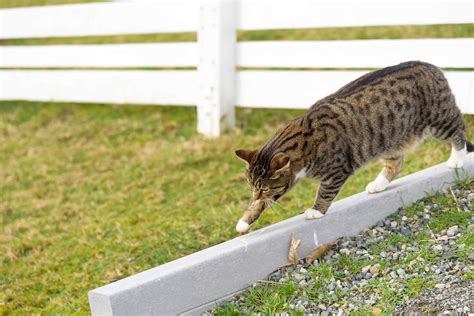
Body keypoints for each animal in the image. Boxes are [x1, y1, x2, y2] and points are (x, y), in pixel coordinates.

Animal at [235, 61, 472, 232]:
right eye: (251, 186)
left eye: (264, 187)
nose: (255, 193)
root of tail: (431, 66)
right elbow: (260, 205)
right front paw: (245, 220)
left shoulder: (336, 170)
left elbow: (325, 192)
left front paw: (315, 211)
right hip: (390, 141)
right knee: (395, 164)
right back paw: (378, 185)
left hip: (439, 118)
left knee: (459, 128)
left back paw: (456, 159)